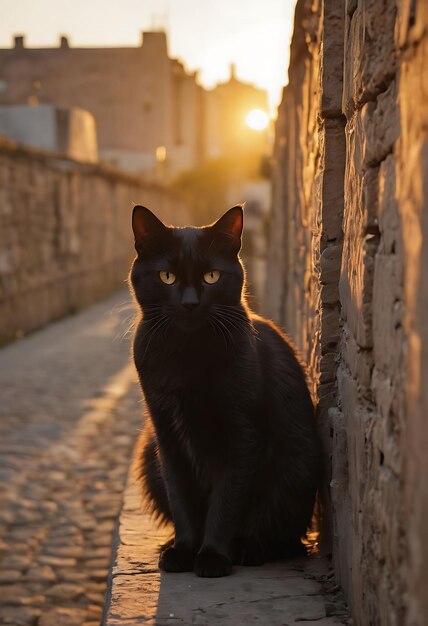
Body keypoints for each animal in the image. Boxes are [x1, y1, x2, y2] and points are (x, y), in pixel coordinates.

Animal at [130, 204, 320, 576]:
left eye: (212, 277)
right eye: (167, 277)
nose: (190, 303)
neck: (187, 354)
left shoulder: (243, 434)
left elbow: (227, 500)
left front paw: (213, 556)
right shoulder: (167, 436)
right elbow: (181, 497)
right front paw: (183, 551)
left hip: (299, 466)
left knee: (284, 537)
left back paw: (250, 548)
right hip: (148, 451)